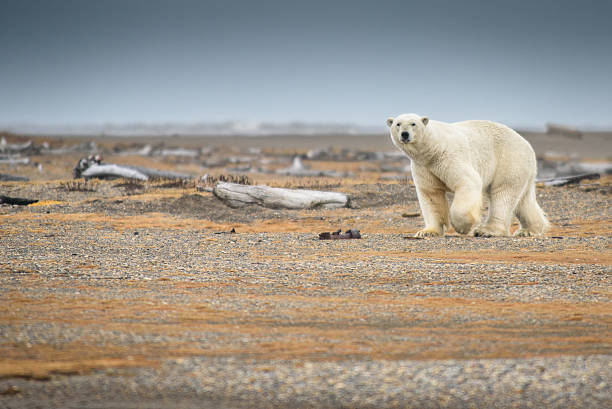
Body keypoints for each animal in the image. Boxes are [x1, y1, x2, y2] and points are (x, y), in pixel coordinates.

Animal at [388, 113, 548, 237]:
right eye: (398, 124)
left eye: (413, 123)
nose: (404, 134)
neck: (432, 149)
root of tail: (528, 146)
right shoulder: (424, 166)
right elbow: (431, 194)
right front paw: (427, 232)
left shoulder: (449, 157)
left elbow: (468, 181)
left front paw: (462, 227)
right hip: (521, 168)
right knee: (523, 200)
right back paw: (529, 230)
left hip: (509, 160)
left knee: (503, 193)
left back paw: (487, 231)